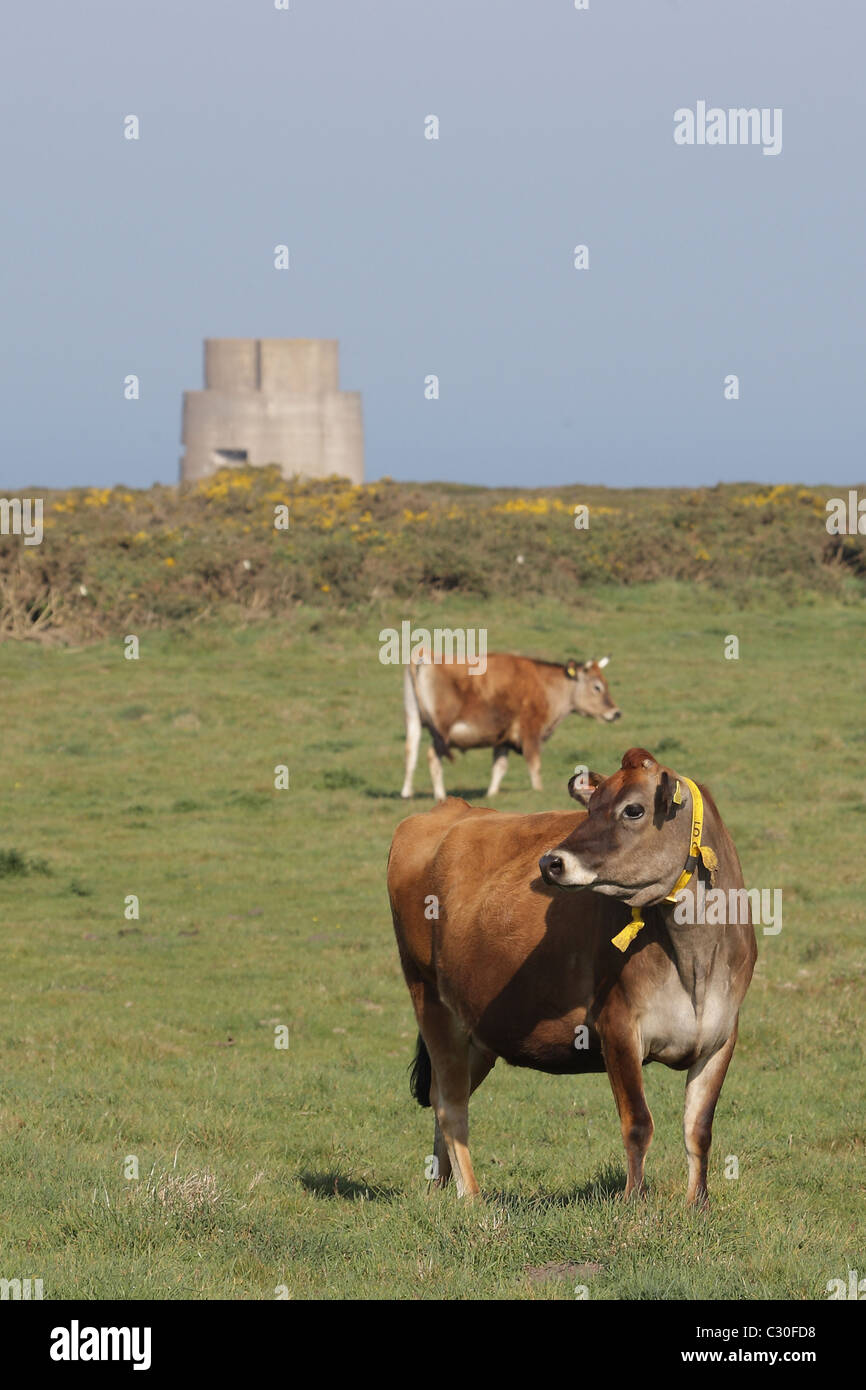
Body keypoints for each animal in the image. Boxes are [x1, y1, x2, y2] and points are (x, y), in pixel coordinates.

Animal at [389, 750, 756, 1206]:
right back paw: (471, 1196)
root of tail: (448, 809)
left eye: (633, 809)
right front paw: (634, 1203)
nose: (550, 862)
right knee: (450, 1103)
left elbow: (699, 1128)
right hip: (430, 1000)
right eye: (591, 805)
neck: (695, 963)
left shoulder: (721, 1035)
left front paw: (697, 1205)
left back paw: (441, 1187)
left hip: (478, 1029)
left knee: (443, 1094)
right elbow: (639, 1123)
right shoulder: (617, 1025)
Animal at [403, 653, 619, 800]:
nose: (616, 712)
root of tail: (426, 655)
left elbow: (500, 767)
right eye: (597, 687)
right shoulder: (530, 730)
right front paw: (538, 790)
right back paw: (440, 795)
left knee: (411, 751)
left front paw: (491, 793)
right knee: (432, 756)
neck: (545, 684)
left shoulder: (503, 737)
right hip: (442, 731)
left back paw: (407, 792)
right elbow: (534, 763)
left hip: (413, 720)